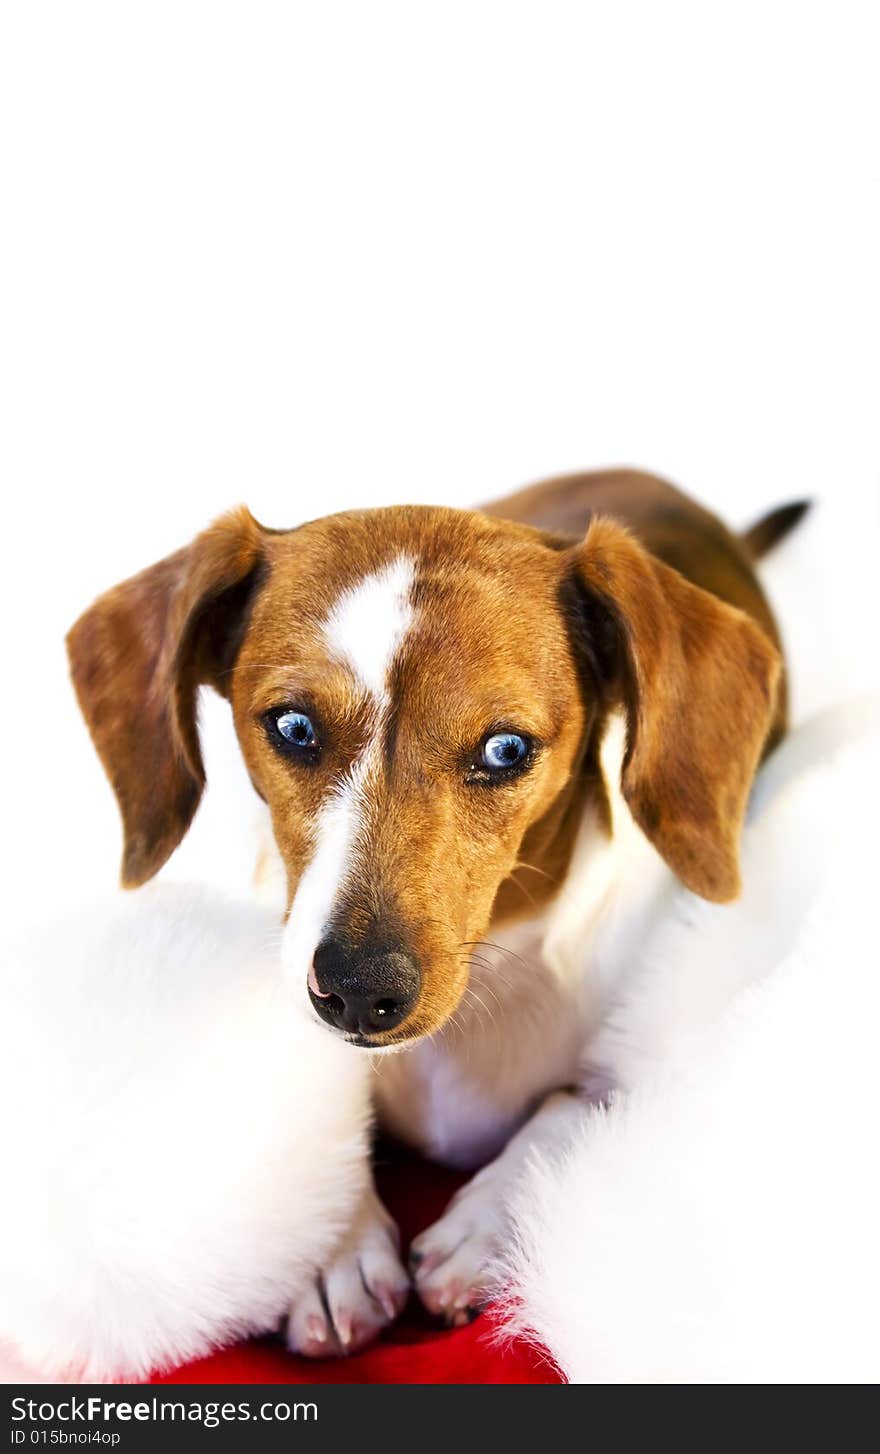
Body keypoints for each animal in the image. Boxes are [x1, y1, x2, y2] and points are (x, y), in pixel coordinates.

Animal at [68, 471, 808, 1355]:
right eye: (293, 726)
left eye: (506, 750)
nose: (359, 989)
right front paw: (334, 1243)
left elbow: (567, 1107)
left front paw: (486, 1223)